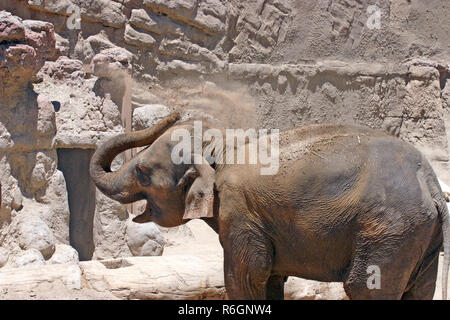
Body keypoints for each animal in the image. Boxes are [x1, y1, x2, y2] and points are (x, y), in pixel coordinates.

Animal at [89, 112, 448, 300]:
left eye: (141, 172)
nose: (175, 113)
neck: (223, 145)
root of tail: (429, 180)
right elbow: (272, 278)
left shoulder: (240, 210)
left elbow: (246, 276)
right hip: (419, 233)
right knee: (420, 288)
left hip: (389, 228)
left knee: (365, 287)